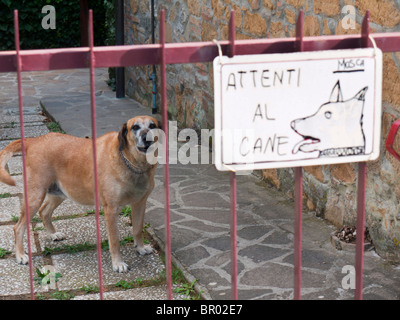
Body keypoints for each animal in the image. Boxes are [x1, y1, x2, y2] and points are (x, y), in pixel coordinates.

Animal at [0, 115, 159, 272]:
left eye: (152, 126)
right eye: (135, 127)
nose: (147, 138)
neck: (134, 164)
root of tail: (33, 140)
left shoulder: (140, 204)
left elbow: (137, 229)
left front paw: (140, 248)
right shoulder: (111, 210)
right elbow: (115, 241)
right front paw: (118, 263)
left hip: (60, 193)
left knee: (44, 212)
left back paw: (53, 234)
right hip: (35, 196)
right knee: (18, 227)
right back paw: (20, 255)